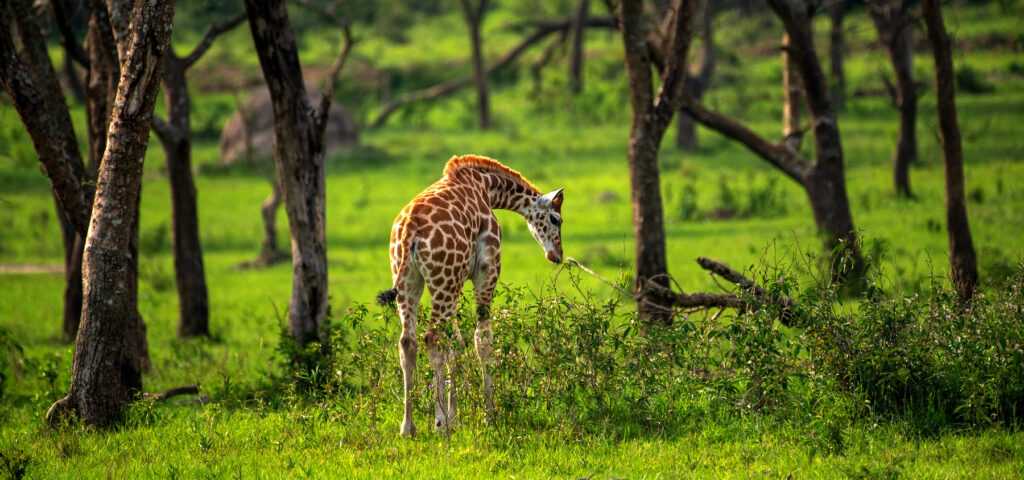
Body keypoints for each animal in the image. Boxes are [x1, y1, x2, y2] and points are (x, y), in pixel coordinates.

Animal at [377, 154, 564, 437]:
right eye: (555, 219)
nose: (557, 255)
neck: (487, 187)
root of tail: (409, 230)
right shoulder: (486, 270)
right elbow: (482, 340)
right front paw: (488, 415)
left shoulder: (456, 281)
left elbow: (457, 342)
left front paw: (456, 417)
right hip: (443, 280)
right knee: (433, 338)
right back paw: (439, 423)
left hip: (410, 280)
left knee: (409, 342)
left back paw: (408, 427)